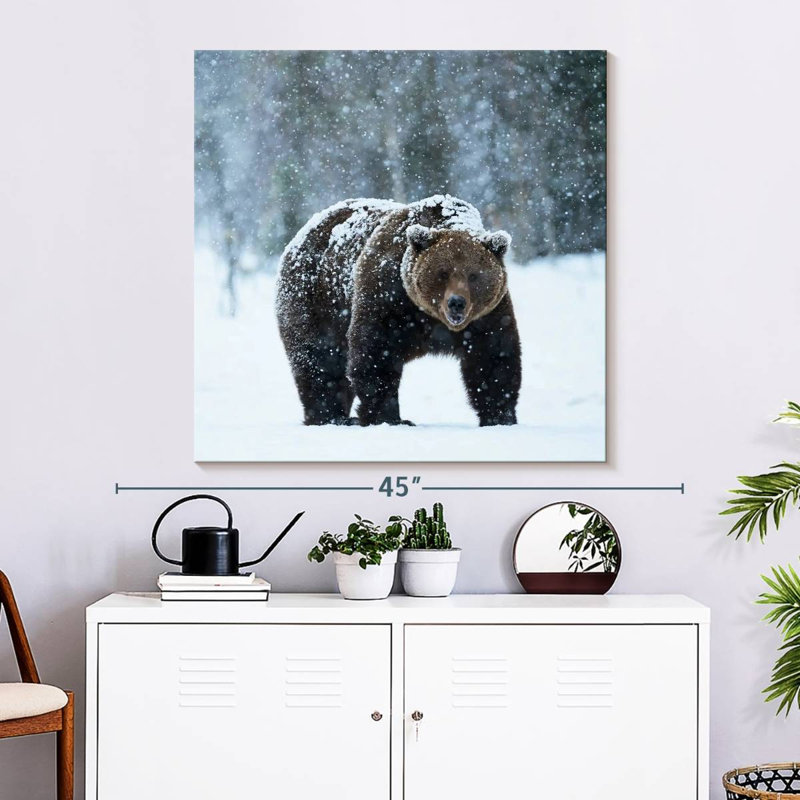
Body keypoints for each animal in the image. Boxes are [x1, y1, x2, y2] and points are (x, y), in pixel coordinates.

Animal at [276, 194, 521, 427]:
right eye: (442, 273)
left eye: (474, 275)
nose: (456, 302)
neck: (430, 317)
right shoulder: (388, 296)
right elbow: (376, 353)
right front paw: (390, 417)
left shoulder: (487, 315)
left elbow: (493, 358)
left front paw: (500, 417)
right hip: (316, 301)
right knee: (320, 361)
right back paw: (331, 417)